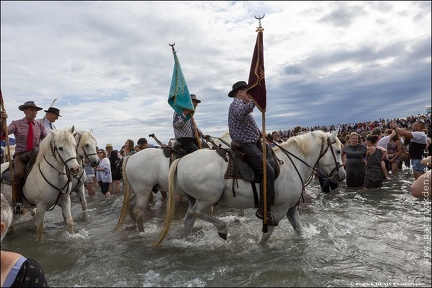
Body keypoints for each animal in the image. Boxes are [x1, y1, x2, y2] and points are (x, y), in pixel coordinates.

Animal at [154, 130, 346, 245]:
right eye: (338, 151)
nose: (342, 175)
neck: (293, 163)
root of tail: (182, 160)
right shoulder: (279, 210)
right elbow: (266, 237)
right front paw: (260, 248)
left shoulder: (291, 209)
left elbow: (299, 231)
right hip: (206, 199)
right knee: (197, 213)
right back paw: (222, 229)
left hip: (194, 199)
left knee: (189, 220)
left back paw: (187, 242)